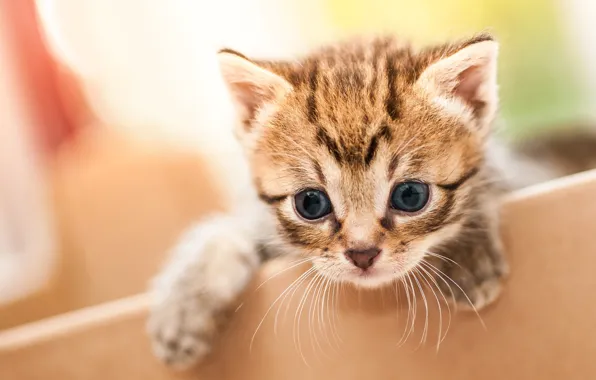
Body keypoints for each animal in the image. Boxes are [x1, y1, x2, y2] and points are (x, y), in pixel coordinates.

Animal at [148, 33, 592, 368]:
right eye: (311, 203)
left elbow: (490, 183)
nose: (362, 253)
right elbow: (220, 230)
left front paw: (465, 248)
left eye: (410, 196)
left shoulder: (527, 172)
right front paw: (181, 309)